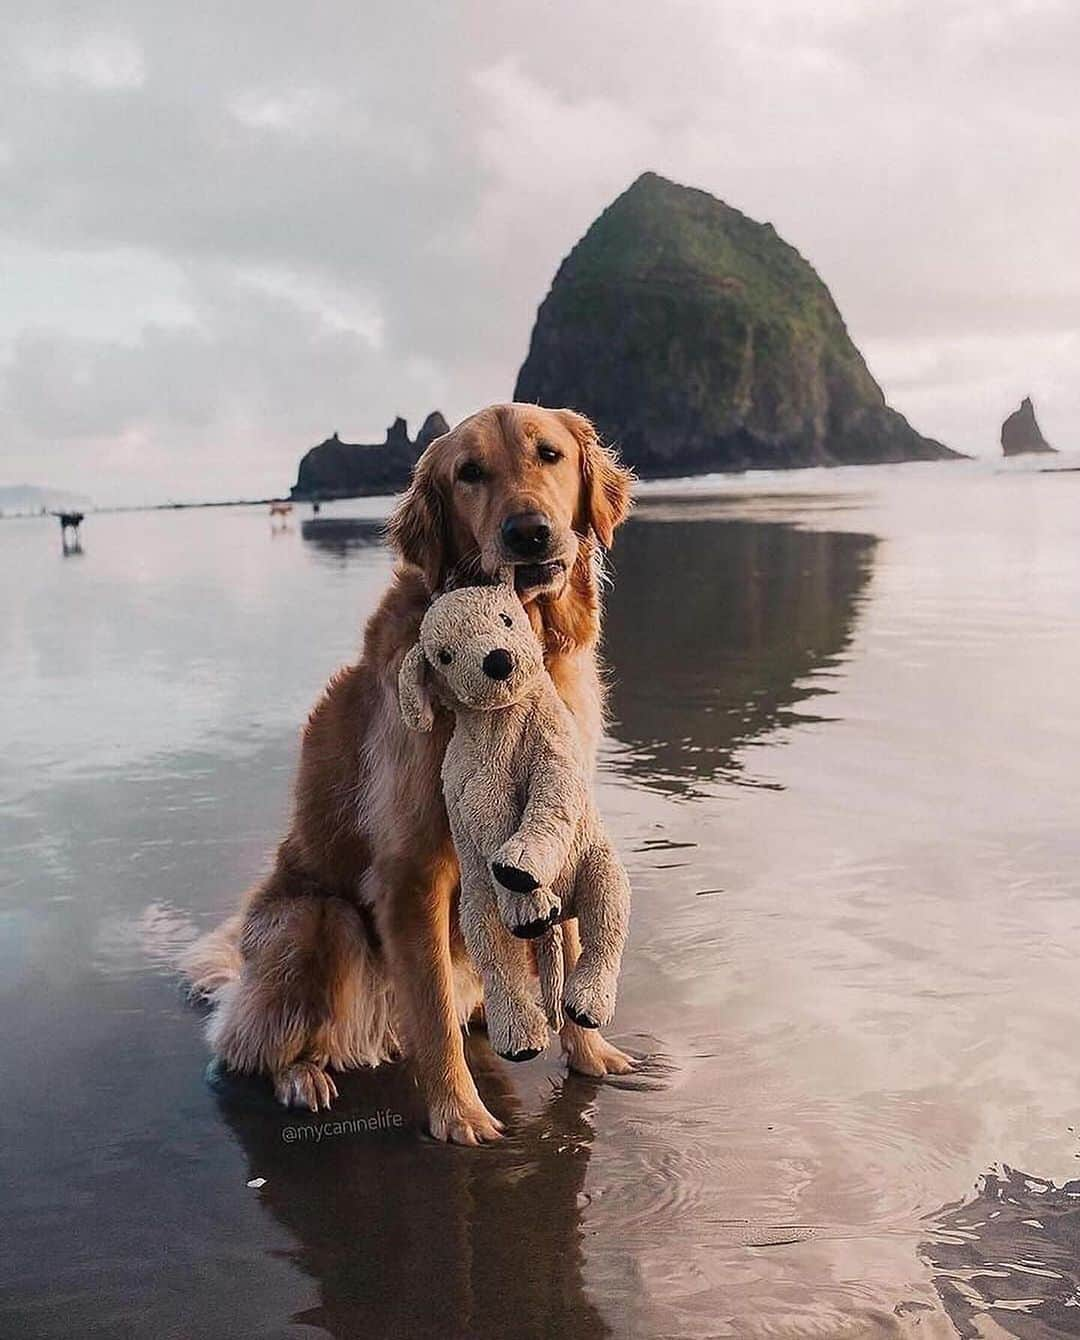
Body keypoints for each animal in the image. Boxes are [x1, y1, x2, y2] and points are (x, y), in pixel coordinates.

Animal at [183, 404, 637, 1141]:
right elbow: (430, 1007)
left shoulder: (563, 816)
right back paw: (302, 1075)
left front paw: (591, 1052)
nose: (529, 532)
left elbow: (568, 941)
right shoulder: (412, 868)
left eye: (550, 453)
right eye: (469, 473)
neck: (527, 649)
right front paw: (459, 1114)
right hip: (316, 922)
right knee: (251, 1045)